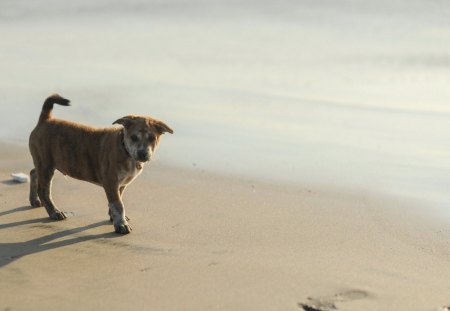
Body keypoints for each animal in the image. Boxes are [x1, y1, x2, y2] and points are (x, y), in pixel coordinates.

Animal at [28, 94, 172, 235]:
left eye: (152, 138)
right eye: (134, 137)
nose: (143, 154)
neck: (125, 149)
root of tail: (45, 120)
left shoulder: (120, 185)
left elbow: (117, 200)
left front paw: (114, 218)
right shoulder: (111, 181)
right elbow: (118, 205)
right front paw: (121, 225)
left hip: (43, 163)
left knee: (33, 173)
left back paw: (34, 200)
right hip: (46, 164)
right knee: (44, 190)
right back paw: (54, 212)